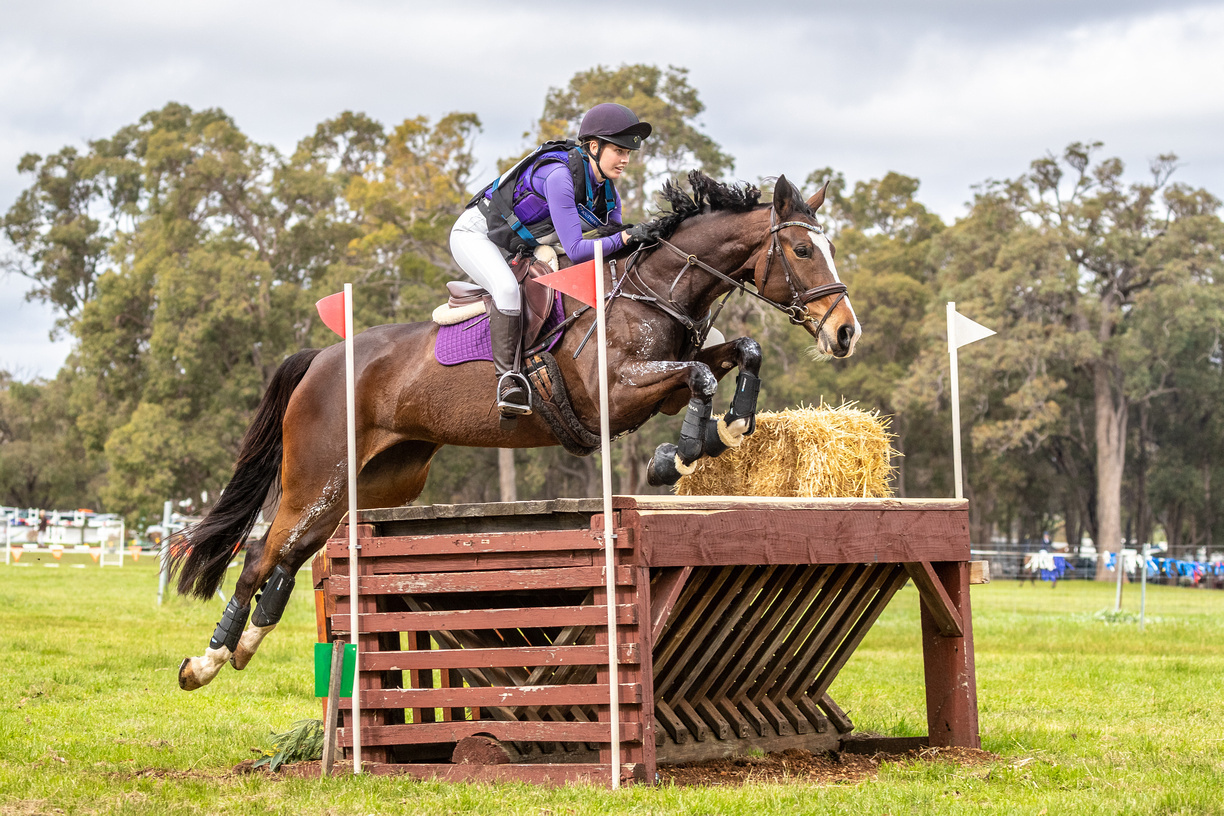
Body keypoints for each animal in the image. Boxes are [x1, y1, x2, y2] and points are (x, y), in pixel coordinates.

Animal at [171, 172, 861, 690]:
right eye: (803, 251)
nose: (845, 332)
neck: (652, 291)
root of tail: (319, 358)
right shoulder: (619, 392)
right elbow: (700, 375)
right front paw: (683, 454)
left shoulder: (663, 385)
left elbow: (741, 353)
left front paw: (721, 435)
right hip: (317, 473)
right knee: (262, 552)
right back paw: (205, 662)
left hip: (375, 483)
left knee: (295, 552)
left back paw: (243, 645)